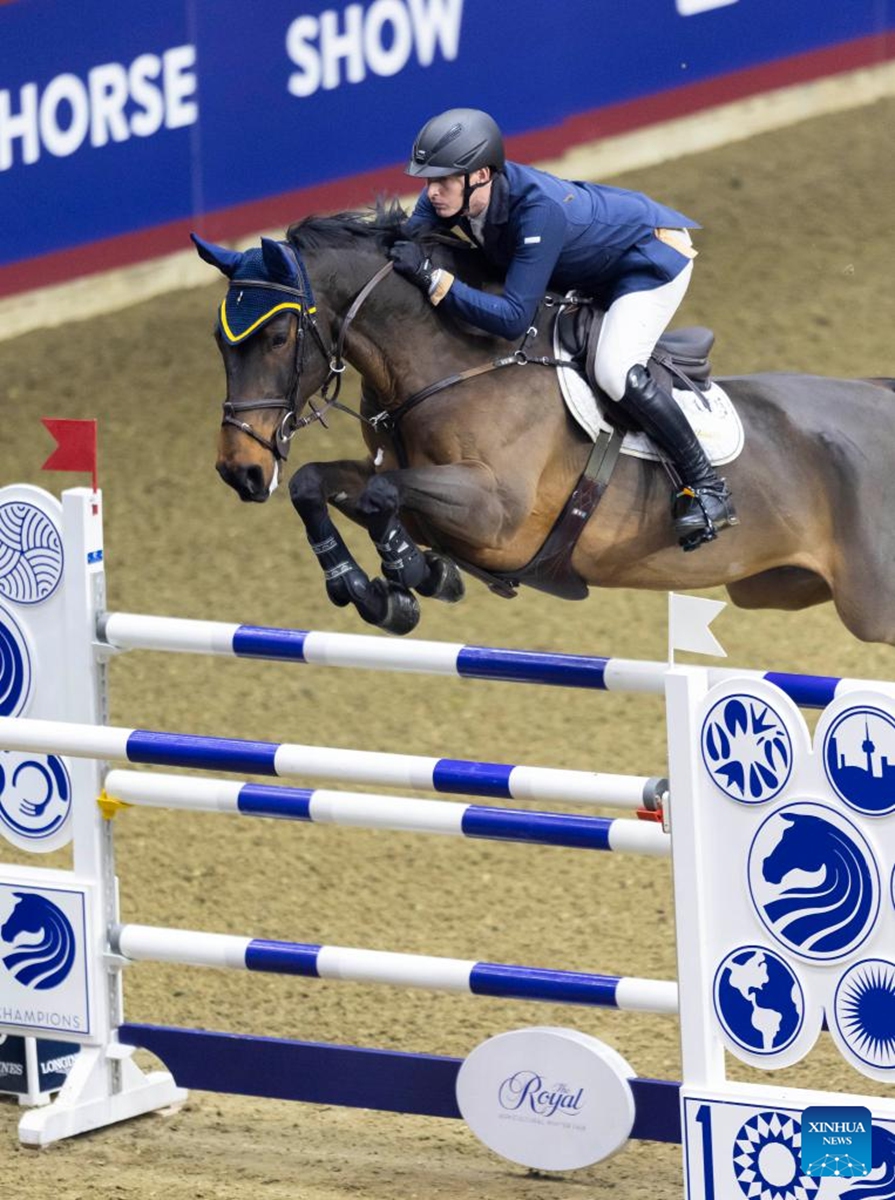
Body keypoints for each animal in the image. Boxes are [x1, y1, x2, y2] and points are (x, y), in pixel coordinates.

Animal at [193, 203, 895, 643]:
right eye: (221, 343)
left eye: (277, 336)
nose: (239, 471)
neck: (457, 361)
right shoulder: (405, 480)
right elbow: (317, 483)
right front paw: (373, 590)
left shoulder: (494, 513)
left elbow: (379, 496)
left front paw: (411, 574)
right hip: (777, 586)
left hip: (872, 608)